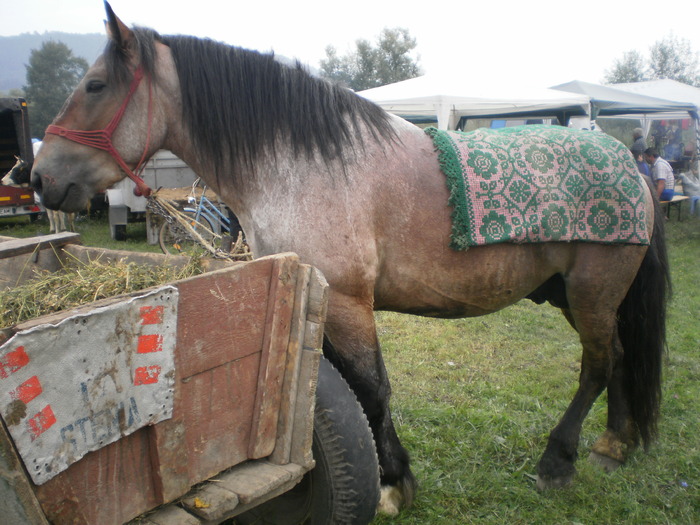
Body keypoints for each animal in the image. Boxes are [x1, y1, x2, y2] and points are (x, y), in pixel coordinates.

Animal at [31, 3, 668, 516]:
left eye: (94, 85)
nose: (38, 178)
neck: (300, 166)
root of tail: (627, 164)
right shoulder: (313, 303)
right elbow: (352, 388)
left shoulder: (345, 303)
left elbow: (373, 388)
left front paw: (392, 484)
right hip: (574, 293)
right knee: (618, 355)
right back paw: (613, 445)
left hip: (591, 290)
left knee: (597, 365)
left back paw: (558, 461)